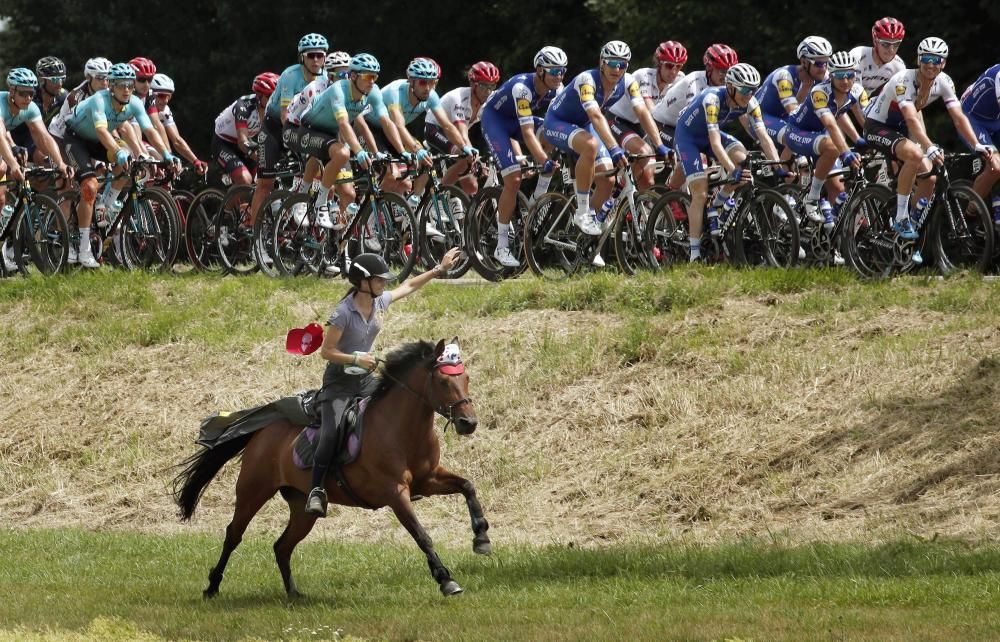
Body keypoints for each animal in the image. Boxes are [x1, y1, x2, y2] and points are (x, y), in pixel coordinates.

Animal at [173, 338, 492, 596]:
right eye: (443, 382)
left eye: (466, 378)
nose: (469, 423)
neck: (404, 430)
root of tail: (263, 430)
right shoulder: (394, 492)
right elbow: (422, 534)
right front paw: (446, 580)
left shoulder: (428, 480)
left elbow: (468, 486)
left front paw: (482, 538)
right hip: (254, 490)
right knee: (233, 535)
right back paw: (212, 587)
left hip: (301, 507)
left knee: (282, 546)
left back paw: (293, 593)